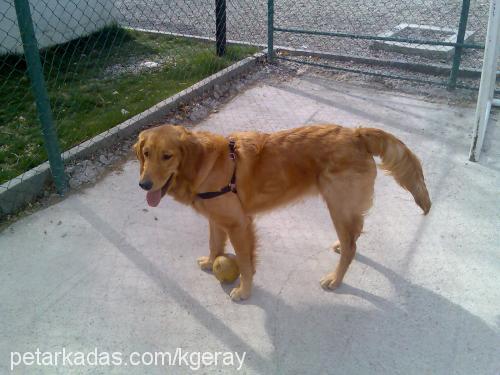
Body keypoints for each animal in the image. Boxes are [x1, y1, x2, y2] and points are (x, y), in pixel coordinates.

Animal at [133, 125, 430, 302]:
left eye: (167, 156)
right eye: (146, 154)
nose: (143, 184)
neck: (206, 163)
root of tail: (356, 133)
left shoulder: (239, 224)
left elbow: (245, 263)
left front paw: (244, 291)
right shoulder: (217, 220)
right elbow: (215, 245)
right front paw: (210, 261)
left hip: (337, 206)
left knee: (351, 247)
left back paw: (335, 279)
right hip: (344, 208)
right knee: (353, 237)